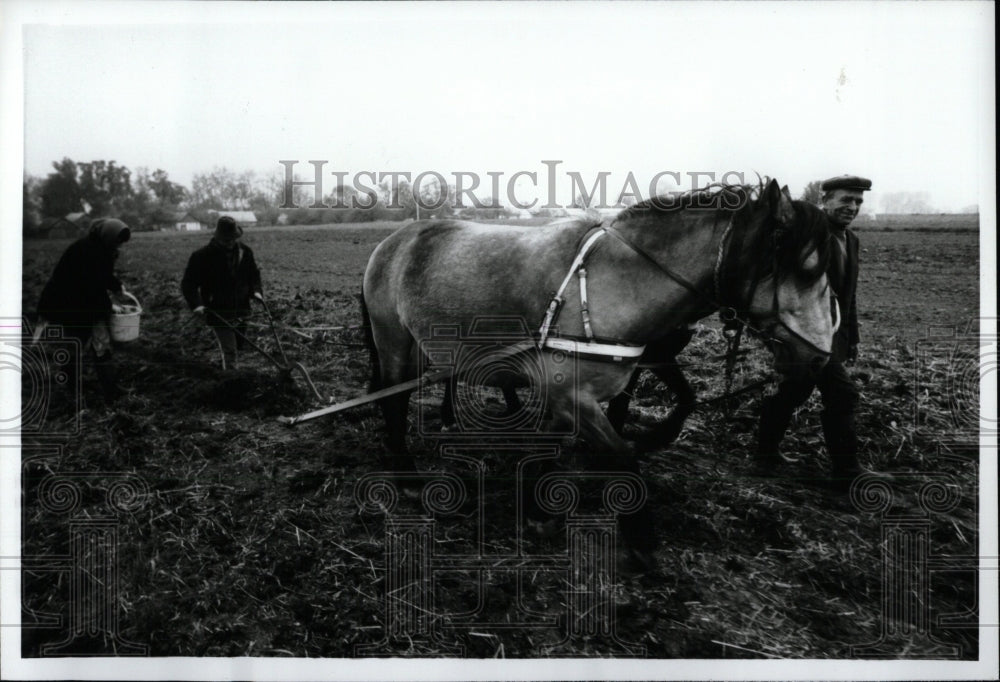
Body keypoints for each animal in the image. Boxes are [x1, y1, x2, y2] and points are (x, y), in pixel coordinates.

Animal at [360, 179, 836, 462]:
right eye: (807, 268)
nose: (821, 359)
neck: (614, 282)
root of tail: (391, 241)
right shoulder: (572, 397)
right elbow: (622, 454)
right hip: (394, 342)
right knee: (394, 398)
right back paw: (403, 464)